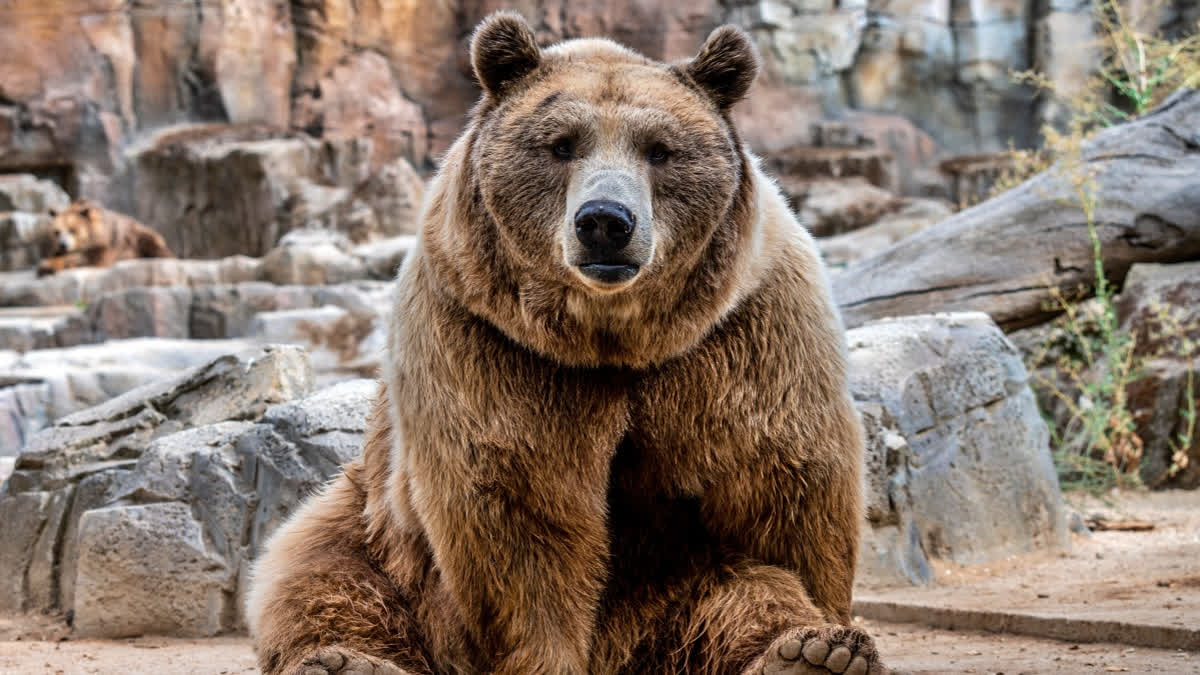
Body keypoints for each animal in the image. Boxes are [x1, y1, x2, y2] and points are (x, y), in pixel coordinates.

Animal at [36, 199, 173, 276]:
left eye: (72, 230)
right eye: (57, 232)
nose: (63, 245)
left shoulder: (105, 244)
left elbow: (89, 258)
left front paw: (48, 266)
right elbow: (56, 254)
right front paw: (45, 265)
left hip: (140, 236)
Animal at [247, 12, 882, 675]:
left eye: (660, 150)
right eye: (561, 144)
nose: (605, 221)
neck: (611, 337)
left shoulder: (741, 330)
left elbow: (779, 488)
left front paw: (819, 620)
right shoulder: (493, 340)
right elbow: (520, 509)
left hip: (668, 595)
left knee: (739, 591)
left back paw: (811, 650)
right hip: (369, 517)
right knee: (318, 573)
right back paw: (343, 659)